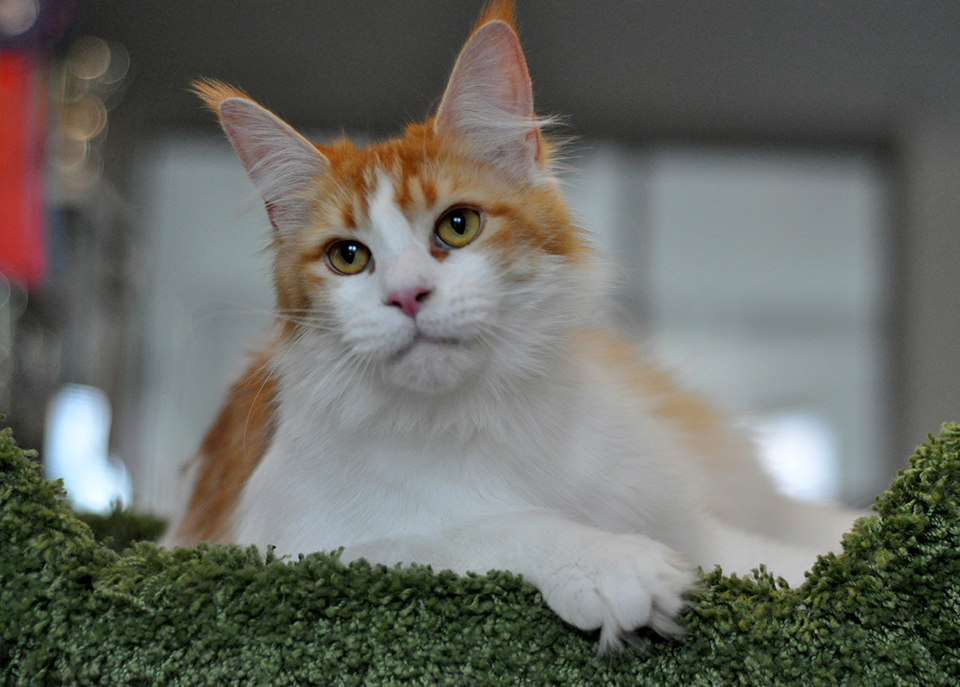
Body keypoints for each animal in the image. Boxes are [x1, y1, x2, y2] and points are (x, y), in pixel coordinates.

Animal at [161, 0, 868, 652]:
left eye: (458, 225)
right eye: (349, 257)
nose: (407, 296)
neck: (479, 419)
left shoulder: (680, 513)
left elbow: (773, 561)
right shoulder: (291, 553)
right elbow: (485, 530)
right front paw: (610, 563)